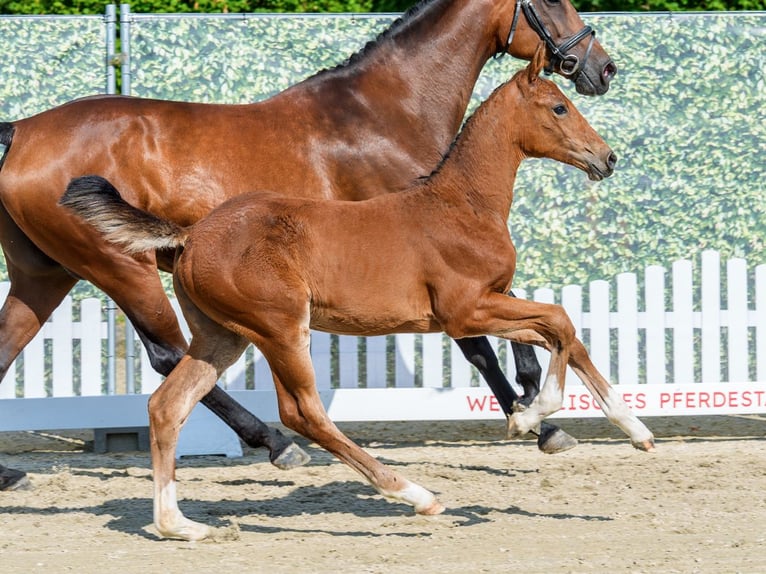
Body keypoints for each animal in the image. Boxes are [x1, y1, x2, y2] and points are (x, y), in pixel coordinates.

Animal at [0, 0, 617, 489]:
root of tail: (22, 131)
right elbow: (480, 343)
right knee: (170, 355)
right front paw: (538, 417)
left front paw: (535, 406)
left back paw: (11, 475)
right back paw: (277, 444)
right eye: (551, 0)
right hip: (121, 268)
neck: (383, 114)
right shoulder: (430, 264)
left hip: (44, 276)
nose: (603, 67)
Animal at [61, 51, 654, 541]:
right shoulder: (464, 313)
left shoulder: (490, 304)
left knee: (168, 406)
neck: (461, 205)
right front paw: (530, 419)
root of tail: (190, 235)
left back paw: (180, 526)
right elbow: (559, 321)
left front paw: (637, 431)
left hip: (221, 337)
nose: (608, 158)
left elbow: (562, 332)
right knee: (303, 413)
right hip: (280, 327)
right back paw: (415, 495)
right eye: (559, 107)